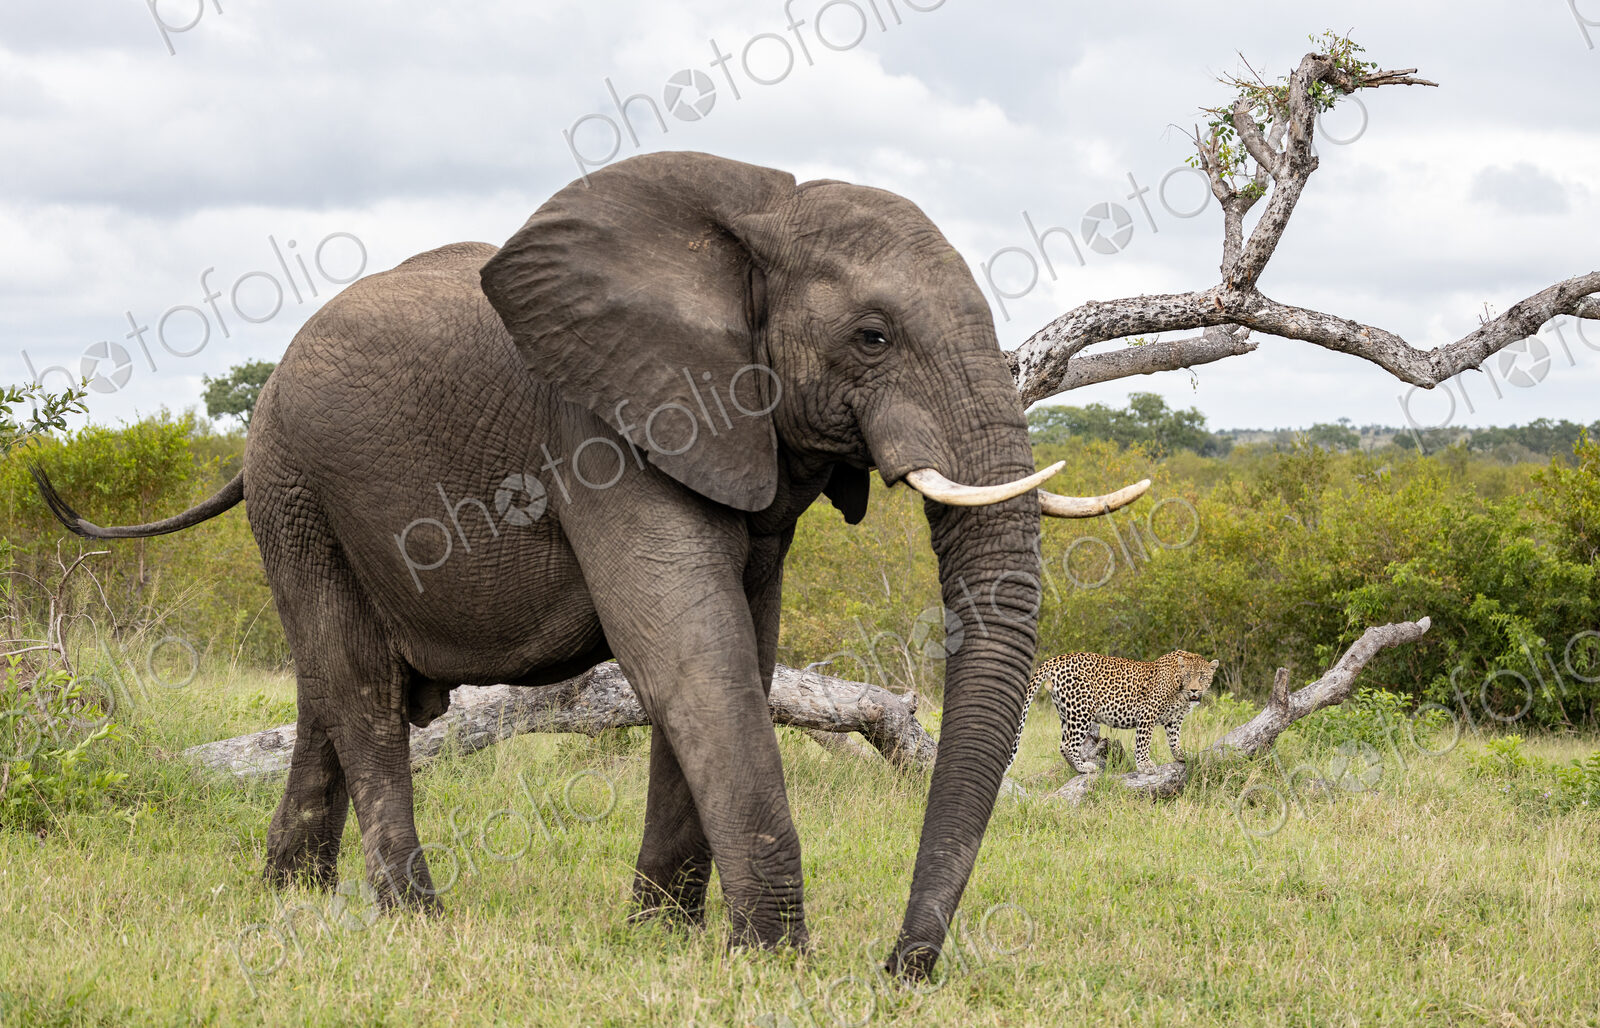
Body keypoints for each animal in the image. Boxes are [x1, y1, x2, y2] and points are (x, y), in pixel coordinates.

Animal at [33, 152, 1147, 979]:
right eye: (871, 337)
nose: (901, 968)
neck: (752, 220)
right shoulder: (598, 428)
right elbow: (683, 646)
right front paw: (771, 961)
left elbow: (740, 648)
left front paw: (662, 940)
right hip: (296, 484)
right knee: (354, 682)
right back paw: (414, 917)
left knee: (326, 685)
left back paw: (291, 899)